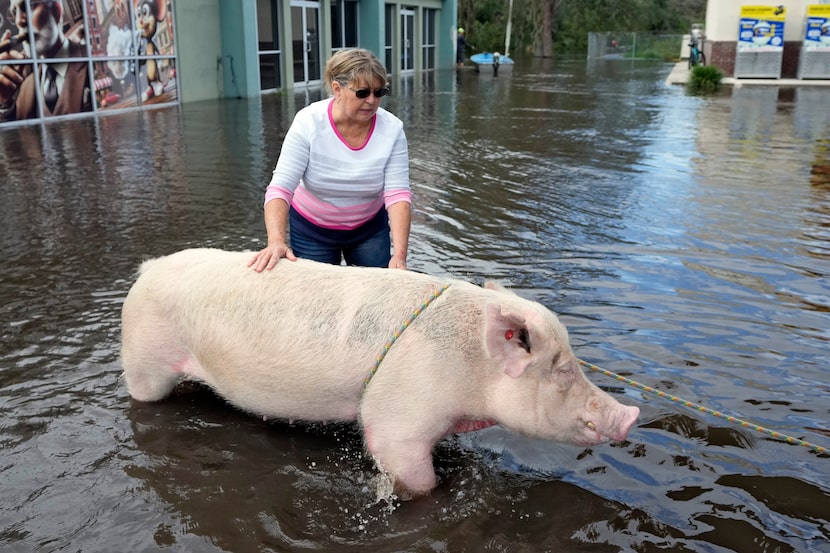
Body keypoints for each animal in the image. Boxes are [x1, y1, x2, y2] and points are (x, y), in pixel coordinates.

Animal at [122, 248, 644, 498]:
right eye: (562, 369)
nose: (632, 414)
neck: (472, 376)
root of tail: (148, 269)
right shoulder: (400, 421)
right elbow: (414, 476)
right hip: (144, 362)